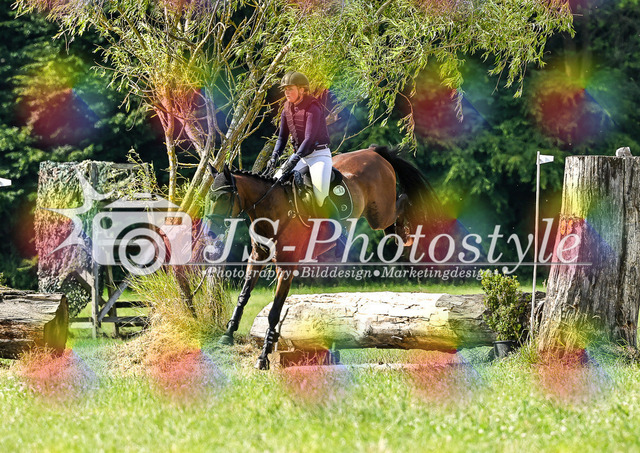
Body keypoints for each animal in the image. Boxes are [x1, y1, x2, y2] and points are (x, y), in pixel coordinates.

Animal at [204, 145, 439, 369]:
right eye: (210, 196)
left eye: (224, 197)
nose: (211, 233)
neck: (272, 209)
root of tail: (373, 152)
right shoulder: (257, 257)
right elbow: (243, 297)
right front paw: (227, 336)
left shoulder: (286, 267)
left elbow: (274, 312)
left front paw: (263, 357)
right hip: (378, 215)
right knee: (394, 217)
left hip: (379, 214)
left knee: (403, 201)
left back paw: (406, 236)